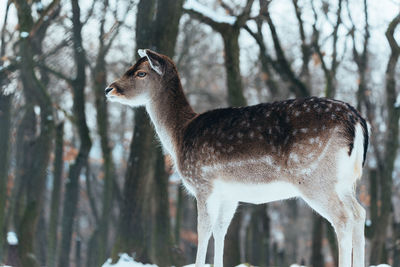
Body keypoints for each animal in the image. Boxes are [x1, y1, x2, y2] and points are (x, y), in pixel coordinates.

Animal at [105, 49, 368, 267]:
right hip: (346, 181)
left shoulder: (203, 183)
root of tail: (356, 120)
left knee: (343, 218)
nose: (109, 89)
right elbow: (221, 230)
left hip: (315, 177)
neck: (180, 135)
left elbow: (203, 230)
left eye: (140, 72)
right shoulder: (229, 194)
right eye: (129, 67)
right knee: (359, 213)